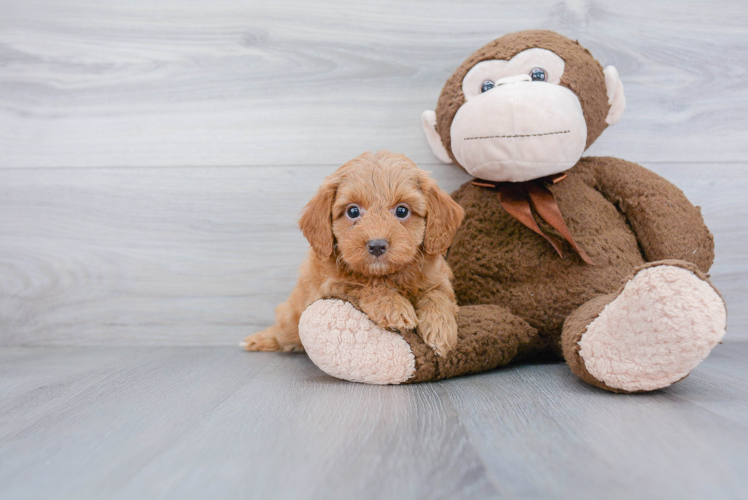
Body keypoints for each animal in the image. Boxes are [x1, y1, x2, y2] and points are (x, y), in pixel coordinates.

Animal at [243, 150, 464, 358]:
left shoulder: (439, 279)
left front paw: (440, 328)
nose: (377, 245)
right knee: (282, 329)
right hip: (291, 318)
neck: (387, 275)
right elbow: (365, 285)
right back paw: (261, 339)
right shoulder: (331, 285)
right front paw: (392, 306)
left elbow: (436, 294)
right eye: (353, 211)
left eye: (402, 211)